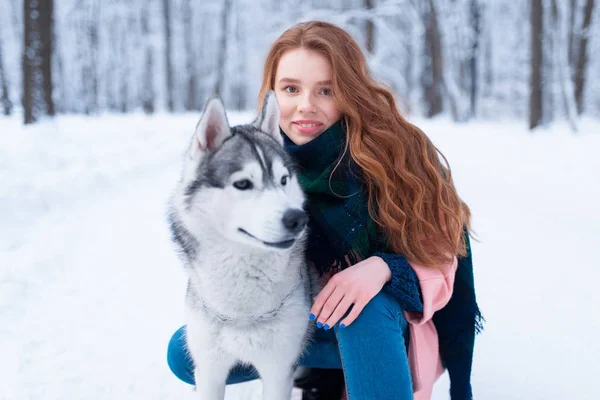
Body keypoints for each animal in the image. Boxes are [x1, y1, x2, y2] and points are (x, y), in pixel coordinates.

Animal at [169, 92, 316, 398]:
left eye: (284, 180)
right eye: (243, 184)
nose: (297, 219)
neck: (241, 313)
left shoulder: (278, 370)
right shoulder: (209, 371)